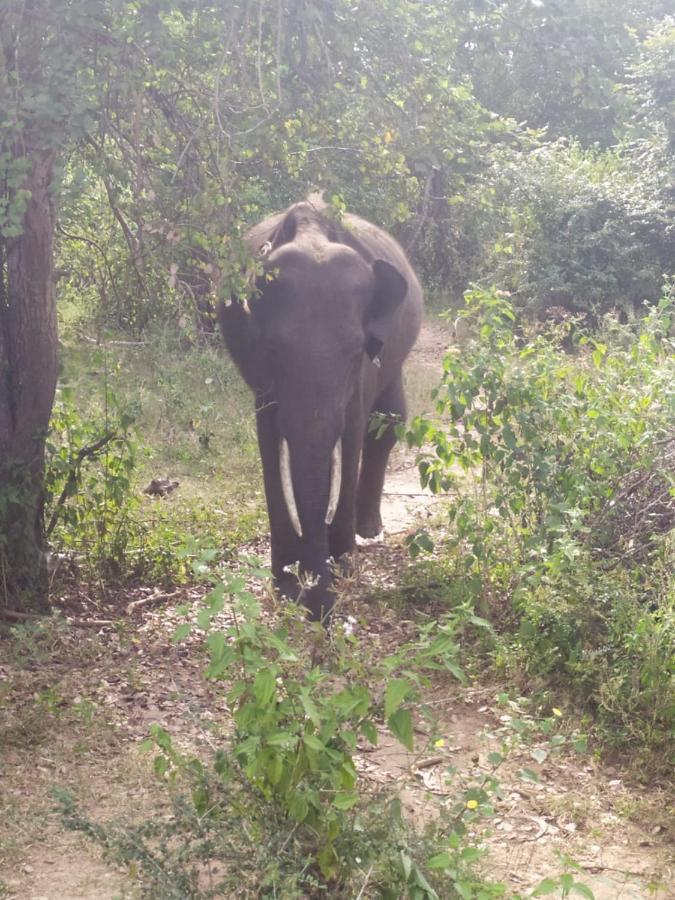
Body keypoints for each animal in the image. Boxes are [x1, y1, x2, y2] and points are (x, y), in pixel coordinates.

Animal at [219, 196, 422, 620]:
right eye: (272, 350)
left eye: (354, 352)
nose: (318, 607)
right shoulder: (259, 374)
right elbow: (270, 439)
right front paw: (284, 580)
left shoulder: (364, 366)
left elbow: (353, 430)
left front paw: (343, 564)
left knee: (389, 422)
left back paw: (367, 530)